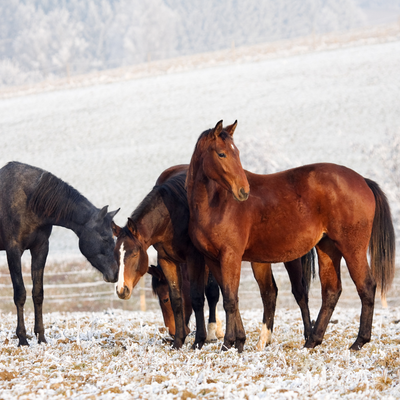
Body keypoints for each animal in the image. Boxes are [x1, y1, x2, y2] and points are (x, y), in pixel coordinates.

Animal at [0, 161, 119, 346]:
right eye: (105, 237)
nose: (115, 273)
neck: (29, 201)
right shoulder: (13, 250)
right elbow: (20, 294)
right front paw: (22, 339)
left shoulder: (40, 249)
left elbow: (38, 293)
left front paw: (41, 337)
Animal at [111, 163, 314, 350]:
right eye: (116, 254)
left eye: (134, 253)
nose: (122, 290)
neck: (172, 212)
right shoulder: (167, 260)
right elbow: (183, 298)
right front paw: (179, 342)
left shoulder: (197, 258)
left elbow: (202, 295)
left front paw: (203, 338)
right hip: (259, 259)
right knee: (269, 292)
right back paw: (264, 340)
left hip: (290, 258)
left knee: (299, 292)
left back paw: (308, 336)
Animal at [186, 119, 396, 354]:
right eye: (222, 154)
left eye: (236, 152)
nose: (243, 191)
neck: (215, 204)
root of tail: (363, 180)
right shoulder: (212, 259)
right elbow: (229, 296)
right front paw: (237, 341)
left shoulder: (231, 257)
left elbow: (231, 299)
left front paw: (229, 344)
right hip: (327, 248)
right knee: (331, 291)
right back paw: (313, 340)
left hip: (352, 249)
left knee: (366, 286)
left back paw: (359, 341)